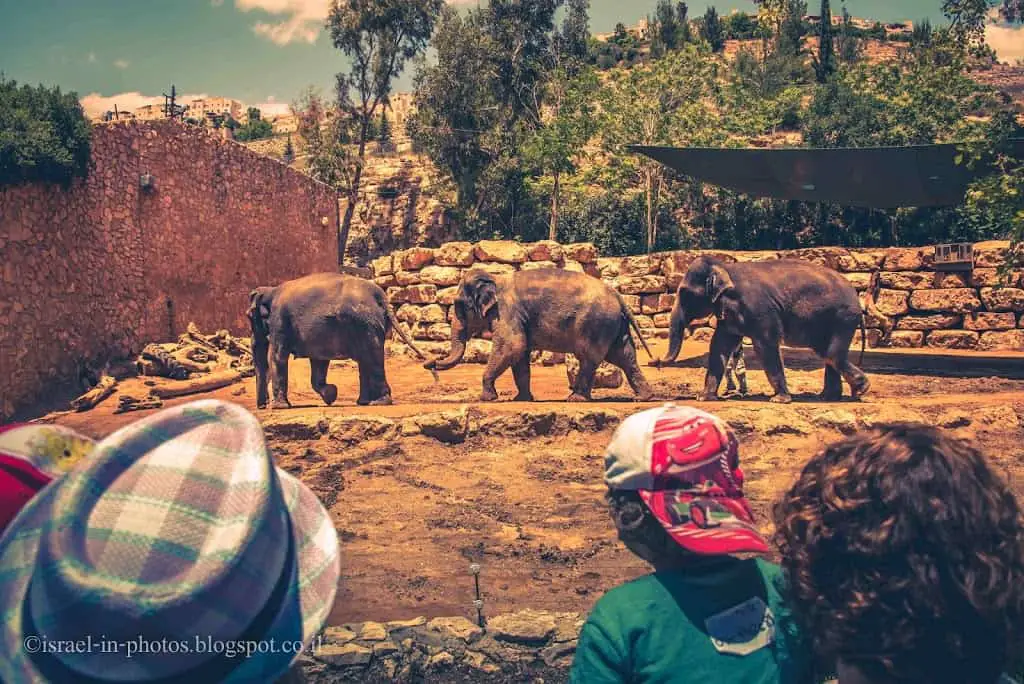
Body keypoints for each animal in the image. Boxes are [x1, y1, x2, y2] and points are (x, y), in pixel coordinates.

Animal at [248, 274, 432, 411]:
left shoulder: (280, 321)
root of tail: (382, 296)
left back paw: (378, 403)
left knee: (371, 358)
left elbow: (277, 356)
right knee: (366, 359)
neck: (271, 290)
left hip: (365, 323)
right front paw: (331, 395)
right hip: (367, 324)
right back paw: (363, 402)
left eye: (249, 316)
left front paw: (279, 407)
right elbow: (319, 362)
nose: (262, 406)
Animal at [423, 268, 655, 405]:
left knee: (589, 358)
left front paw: (487, 398)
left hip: (596, 324)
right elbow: (520, 355)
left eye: (459, 306)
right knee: (624, 356)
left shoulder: (507, 311)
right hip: (613, 325)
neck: (495, 278)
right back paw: (643, 398)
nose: (429, 362)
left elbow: (512, 346)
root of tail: (617, 294)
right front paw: (521, 399)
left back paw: (575, 399)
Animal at [655, 258, 872, 405]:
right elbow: (719, 346)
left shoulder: (760, 309)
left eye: (685, 293)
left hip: (843, 318)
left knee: (832, 354)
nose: (655, 361)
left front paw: (780, 400)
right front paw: (704, 397)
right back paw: (828, 397)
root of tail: (858, 300)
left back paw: (861, 390)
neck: (725, 267)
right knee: (826, 353)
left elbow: (765, 346)